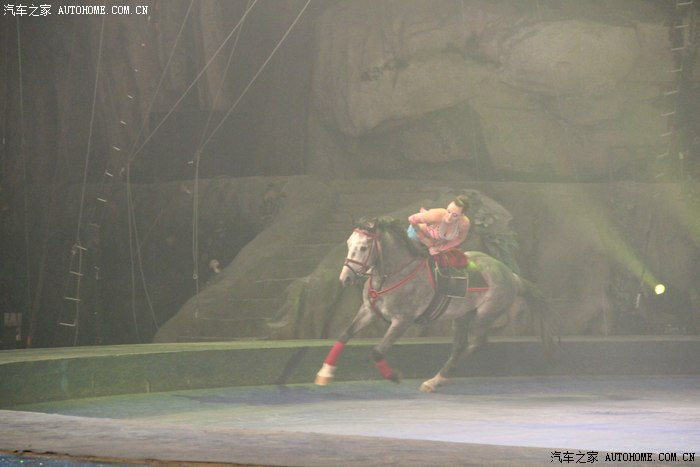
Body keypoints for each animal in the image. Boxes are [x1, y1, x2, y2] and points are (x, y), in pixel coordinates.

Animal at [314, 217, 558, 393]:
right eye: (349, 244)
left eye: (364, 247)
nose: (345, 278)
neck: (392, 274)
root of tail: (512, 275)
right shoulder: (368, 311)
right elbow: (344, 335)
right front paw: (325, 374)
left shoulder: (402, 320)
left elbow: (377, 351)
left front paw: (394, 376)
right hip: (462, 316)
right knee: (460, 346)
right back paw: (437, 380)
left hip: (485, 314)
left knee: (475, 343)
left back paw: (439, 377)